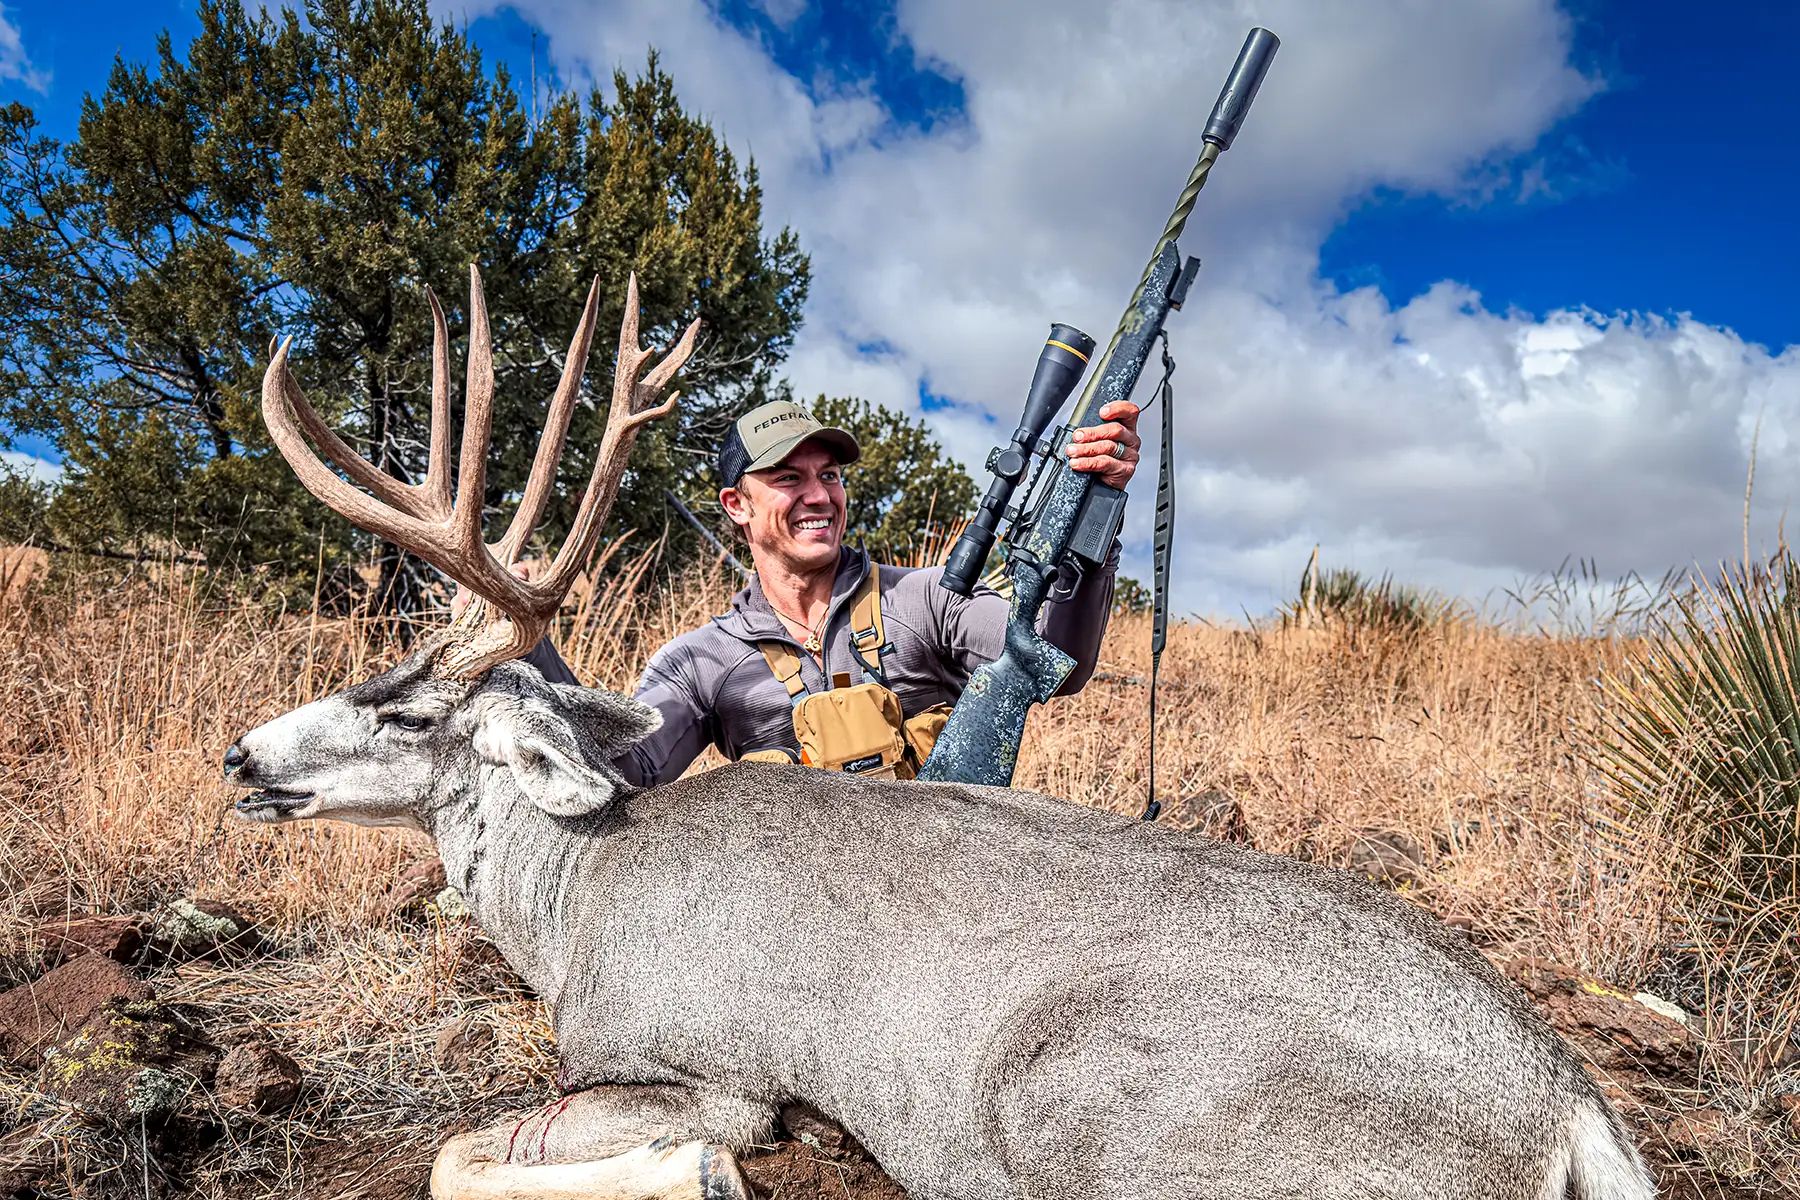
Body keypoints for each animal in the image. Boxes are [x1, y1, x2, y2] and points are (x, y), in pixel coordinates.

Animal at [222, 268, 1657, 1200]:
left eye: (404, 706)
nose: (238, 757)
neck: (579, 896)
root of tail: (1572, 1109)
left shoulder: (703, 1060)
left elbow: (457, 1153)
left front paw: (708, 1173)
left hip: (1076, 1090)